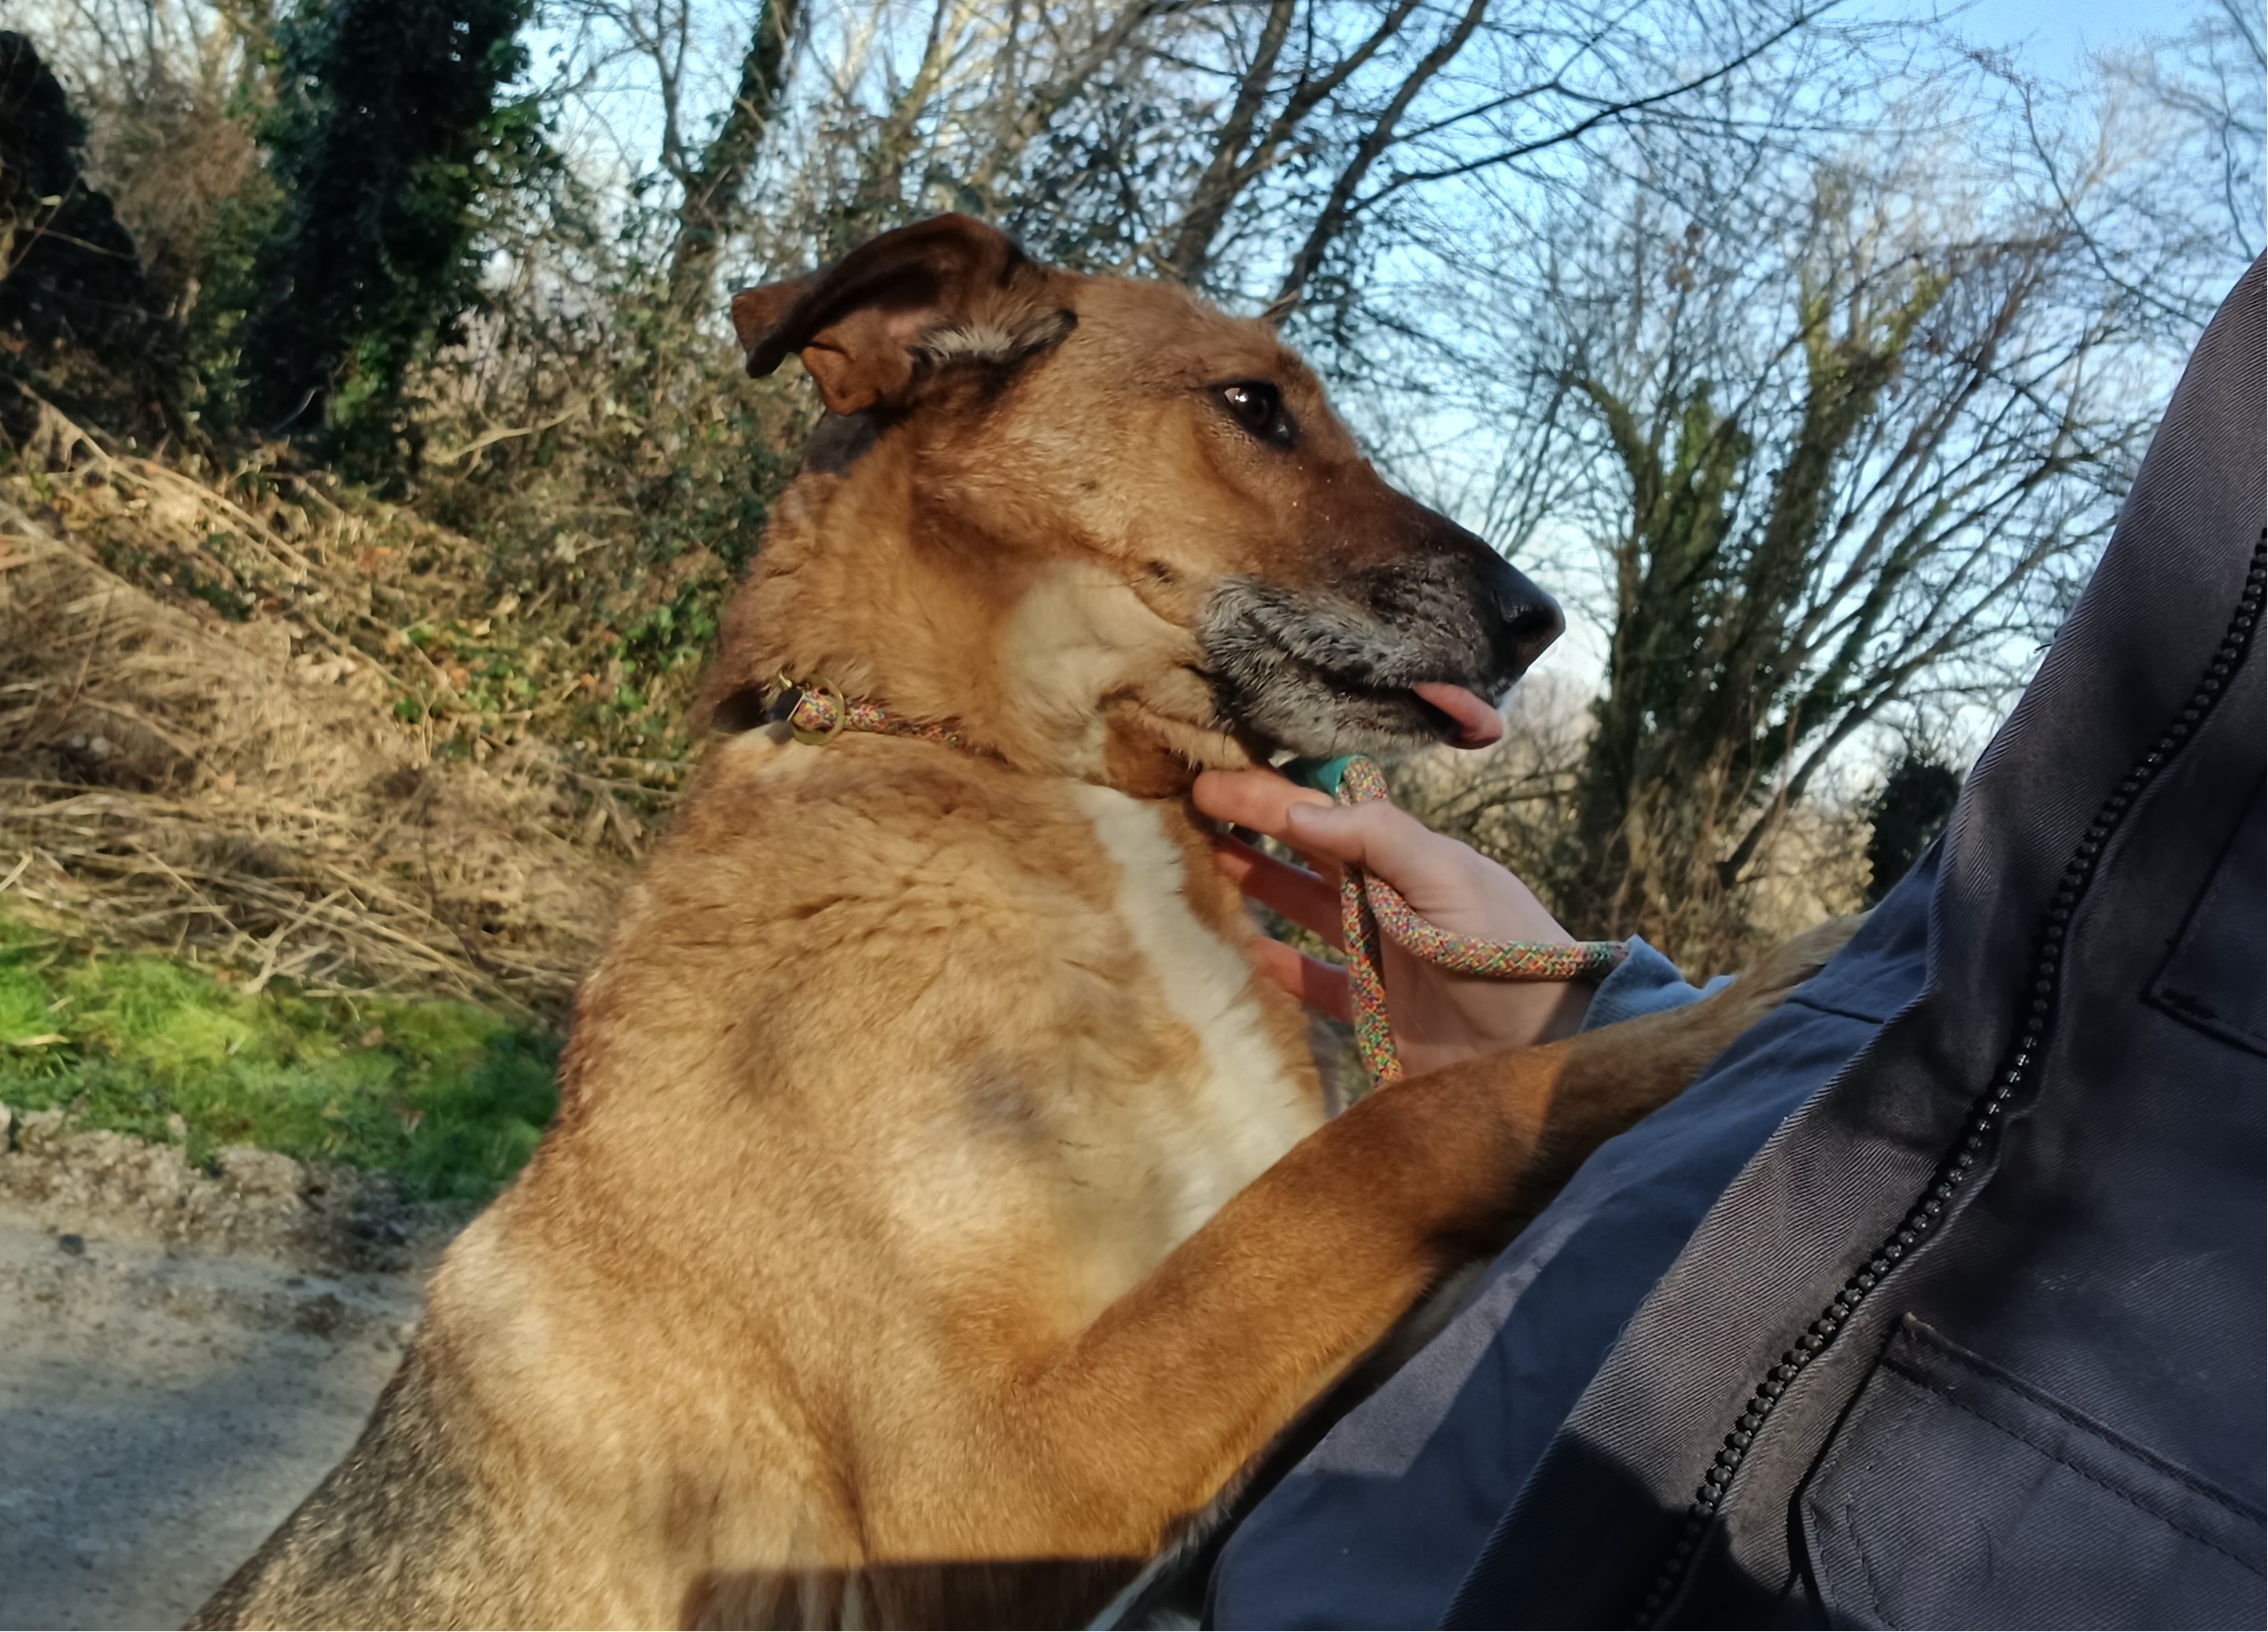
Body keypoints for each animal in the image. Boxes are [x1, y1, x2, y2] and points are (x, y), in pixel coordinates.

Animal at [192, 215, 1850, 1630]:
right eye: (1253, 407)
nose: (1536, 623)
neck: (1024, 776)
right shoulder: (986, 1480)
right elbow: (1397, 1136)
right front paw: (1742, 1007)